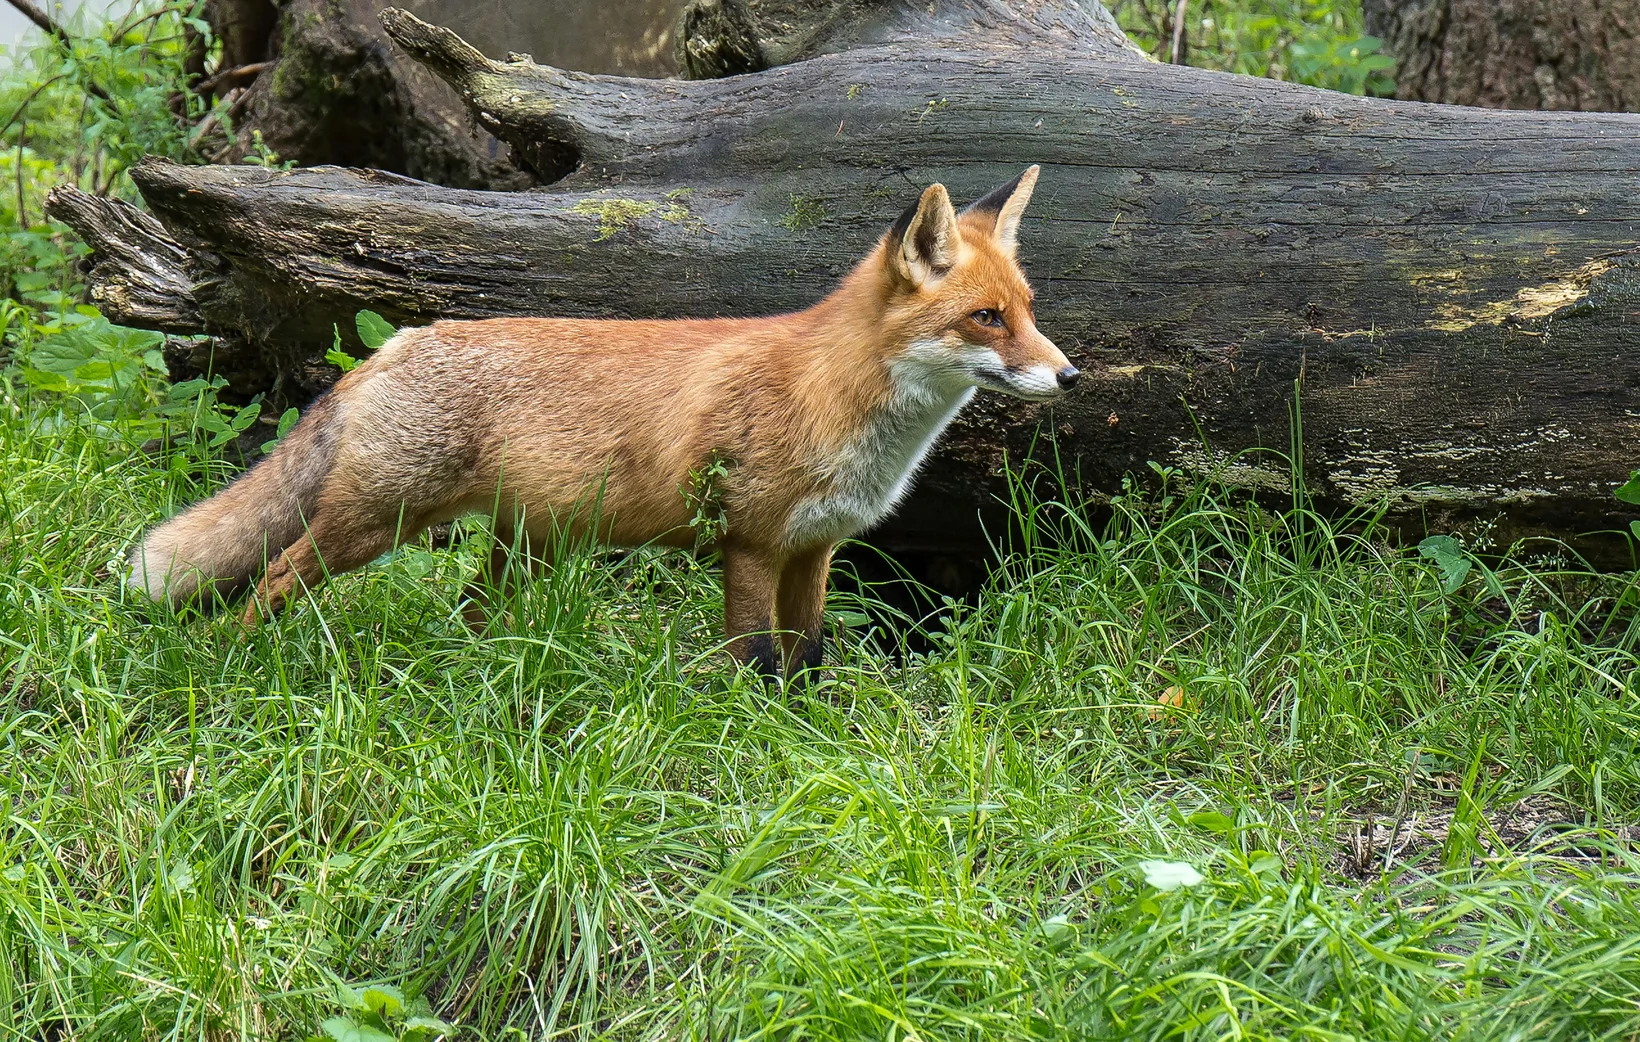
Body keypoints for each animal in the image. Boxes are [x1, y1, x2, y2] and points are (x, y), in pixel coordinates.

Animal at [127, 167, 1075, 679]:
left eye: (1028, 311)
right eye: (986, 319)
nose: (1068, 375)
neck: (830, 400)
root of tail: (396, 341)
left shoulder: (815, 549)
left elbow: (806, 662)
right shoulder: (751, 545)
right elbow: (755, 663)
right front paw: (755, 744)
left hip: (521, 547)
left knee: (469, 611)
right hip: (373, 524)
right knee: (273, 577)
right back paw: (238, 664)